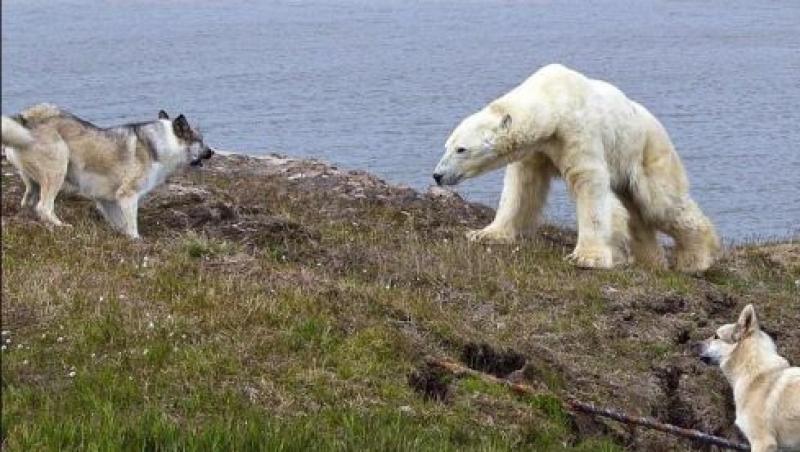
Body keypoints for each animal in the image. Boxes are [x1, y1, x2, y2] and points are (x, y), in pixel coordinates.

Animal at [1, 105, 214, 238]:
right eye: (201, 140)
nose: (211, 152)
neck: (162, 143)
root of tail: (26, 118)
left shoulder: (108, 200)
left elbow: (121, 224)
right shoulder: (128, 196)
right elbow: (132, 227)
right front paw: (136, 241)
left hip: (33, 182)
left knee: (29, 202)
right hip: (58, 168)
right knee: (44, 207)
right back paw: (62, 226)